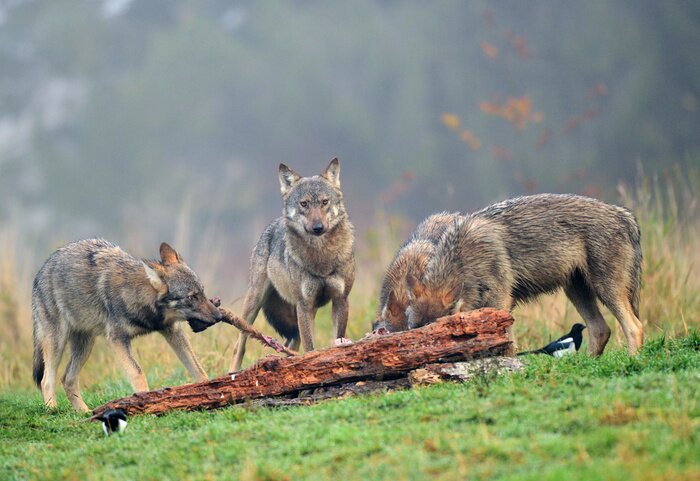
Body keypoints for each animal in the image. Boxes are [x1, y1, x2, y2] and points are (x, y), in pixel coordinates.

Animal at [32, 239, 222, 412]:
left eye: (202, 292)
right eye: (192, 297)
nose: (219, 316)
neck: (139, 295)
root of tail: (42, 269)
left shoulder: (173, 332)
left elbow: (198, 369)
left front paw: (209, 391)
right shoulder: (117, 339)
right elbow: (137, 372)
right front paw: (146, 402)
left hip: (84, 345)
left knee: (67, 379)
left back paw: (84, 413)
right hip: (58, 342)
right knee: (46, 380)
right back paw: (52, 410)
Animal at [230, 158, 355, 371]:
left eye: (324, 202)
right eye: (304, 204)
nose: (318, 227)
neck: (321, 257)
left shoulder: (340, 300)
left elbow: (337, 338)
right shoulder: (305, 305)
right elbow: (310, 348)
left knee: (289, 345)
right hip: (255, 304)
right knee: (239, 344)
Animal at [405, 194, 643, 355]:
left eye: (436, 335)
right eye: (414, 333)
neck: (464, 258)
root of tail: (625, 215)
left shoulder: (501, 304)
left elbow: (506, 345)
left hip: (605, 290)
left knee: (635, 327)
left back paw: (632, 360)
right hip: (576, 292)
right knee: (601, 330)